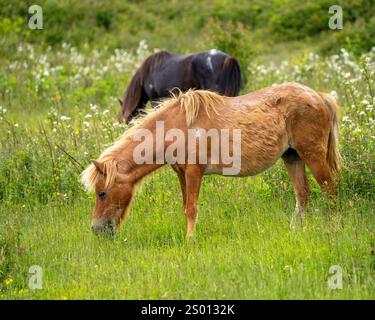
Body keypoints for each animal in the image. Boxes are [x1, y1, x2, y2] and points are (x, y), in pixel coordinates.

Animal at [81, 82, 340, 238]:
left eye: (102, 193)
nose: (96, 229)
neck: (177, 126)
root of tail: (319, 96)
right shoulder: (182, 174)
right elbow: (185, 206)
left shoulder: (194, 172)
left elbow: (191, 209)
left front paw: (190, 240)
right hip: (292, 157)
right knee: (303, 193)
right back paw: (296, 229)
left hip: (312, 156)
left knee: (330, 190)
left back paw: (331, 228)